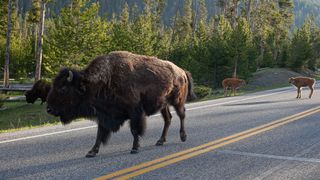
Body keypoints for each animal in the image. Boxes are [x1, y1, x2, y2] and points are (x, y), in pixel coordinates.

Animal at [46, 51, 196, 158]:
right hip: (163, 104)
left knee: (181, 115)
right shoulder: (104, 115)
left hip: (177, 101)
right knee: (168, 119)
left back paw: (183, 136)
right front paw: (92, 152)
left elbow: (134, 130)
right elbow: (100, 133)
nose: (49, 109)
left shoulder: (134, 112)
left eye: (63, 89)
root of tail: (182, 71)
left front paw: (134, 148)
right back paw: (160, 140)